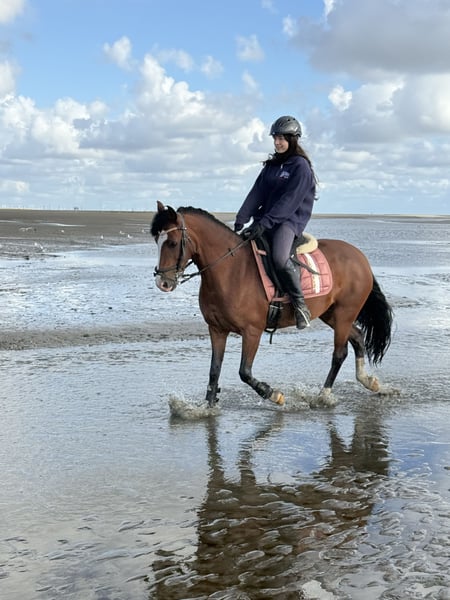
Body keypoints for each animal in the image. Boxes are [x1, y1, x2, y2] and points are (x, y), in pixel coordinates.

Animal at [151, 201, 393, 407]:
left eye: (172, 243)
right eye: (157, 242)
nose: (162, 282)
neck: (230, 271)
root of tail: (360, 257)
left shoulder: (252, 331)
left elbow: (244, 372)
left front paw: (274, 394)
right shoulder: (217, 330)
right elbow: (214, 370)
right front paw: (208, 407)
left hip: (344, 313)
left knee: (339, 353)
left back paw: (323, 395)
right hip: (332, 314)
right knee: (358, 336)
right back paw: (369, 381)